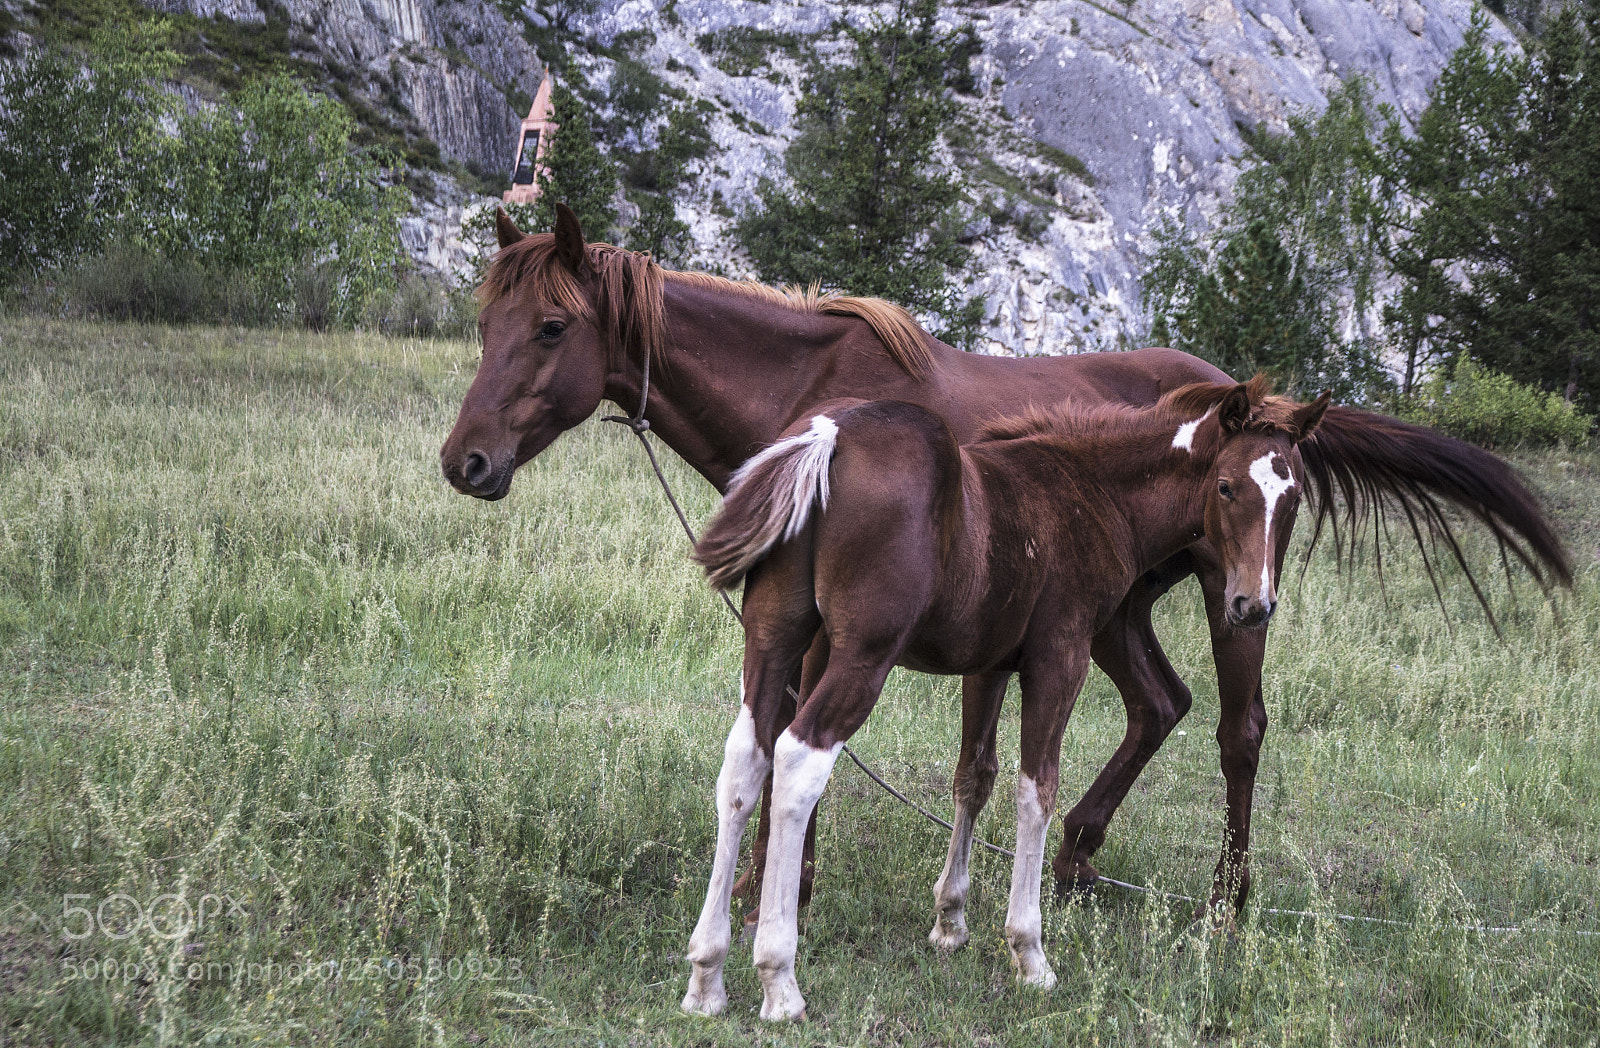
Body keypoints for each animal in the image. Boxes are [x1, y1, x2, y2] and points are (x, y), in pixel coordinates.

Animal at [440, 204, 1570, 925]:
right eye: (486, 323)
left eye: (551, 326)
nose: (468, 461)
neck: (810, 395)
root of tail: (1256, 399)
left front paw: (784, 892)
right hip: (1118, 611)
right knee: (1159, 704)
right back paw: (1074, 856)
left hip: (1230, 596)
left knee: (1238, 729)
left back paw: (1224, 900)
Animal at [682, 379, 1330, 1019]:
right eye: (1226, 487)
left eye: (1293, 499)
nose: (1252, 605)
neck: (1093, 491)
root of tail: (828, 433)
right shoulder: (1060, 658)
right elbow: (1036, 791)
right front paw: (1029, 952)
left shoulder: (989, 664)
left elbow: (975, 775)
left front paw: (950, 921)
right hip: (863, 653)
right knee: (798, 760)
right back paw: (779, 980)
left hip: (773, 633)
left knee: (746, 759)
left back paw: (707, 975)